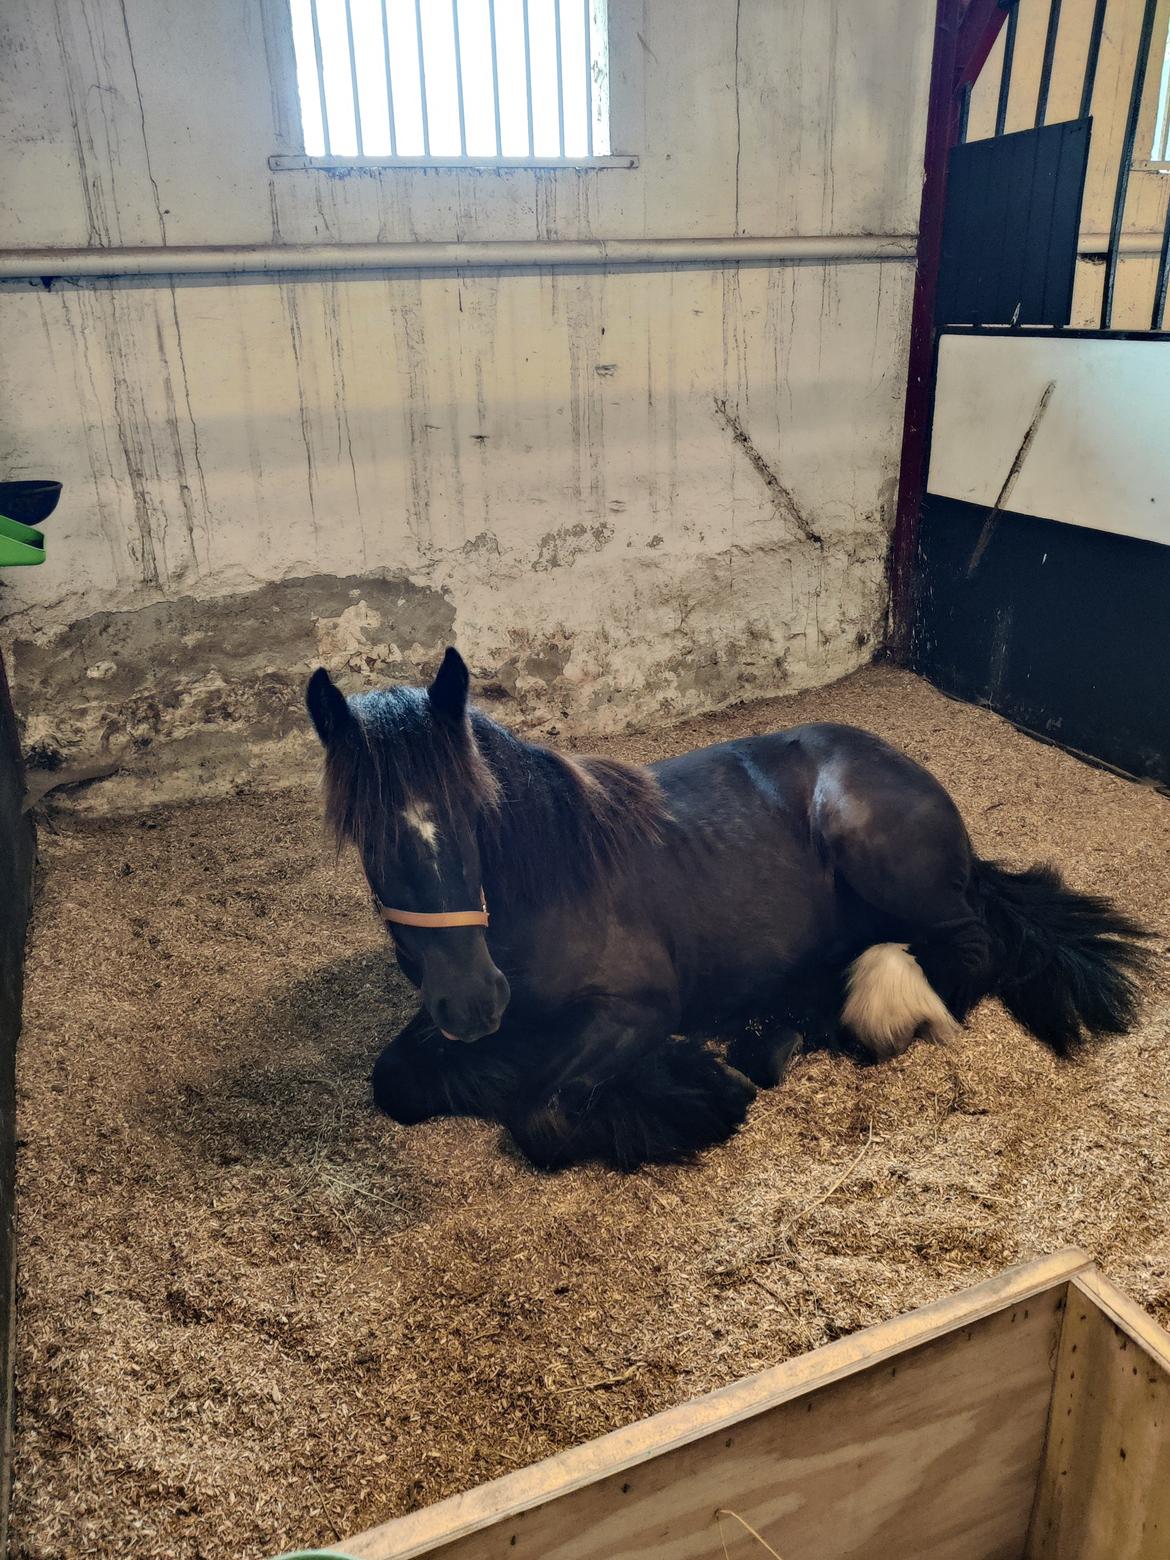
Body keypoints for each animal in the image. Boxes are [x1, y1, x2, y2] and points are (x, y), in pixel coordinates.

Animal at [304, 648, 1154, 1173]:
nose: (476, 1002)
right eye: (368, 835)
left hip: (881, 856)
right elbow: (398, 1077)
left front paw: (694, 1097)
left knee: (969, 948)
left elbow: (540, 1114)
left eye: (474, 809)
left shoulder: (639, 1006)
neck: (548, 882)